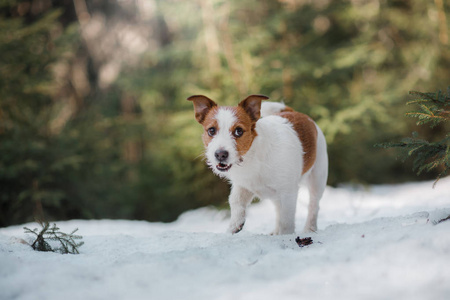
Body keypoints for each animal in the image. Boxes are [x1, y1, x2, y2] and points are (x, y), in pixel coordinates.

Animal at [188, 94, 328, 234]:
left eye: (238, 131)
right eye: (211, 130)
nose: (220, 154)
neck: (252, 157)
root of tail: (295, 112)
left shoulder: (288, 193)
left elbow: (286, 221)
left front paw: (285, 236)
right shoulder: (244, 185)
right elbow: (235, 200)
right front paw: (235, 224)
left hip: (317, 178)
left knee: (314, 204)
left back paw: (310, 228)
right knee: (278, 209)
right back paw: (276, 232)